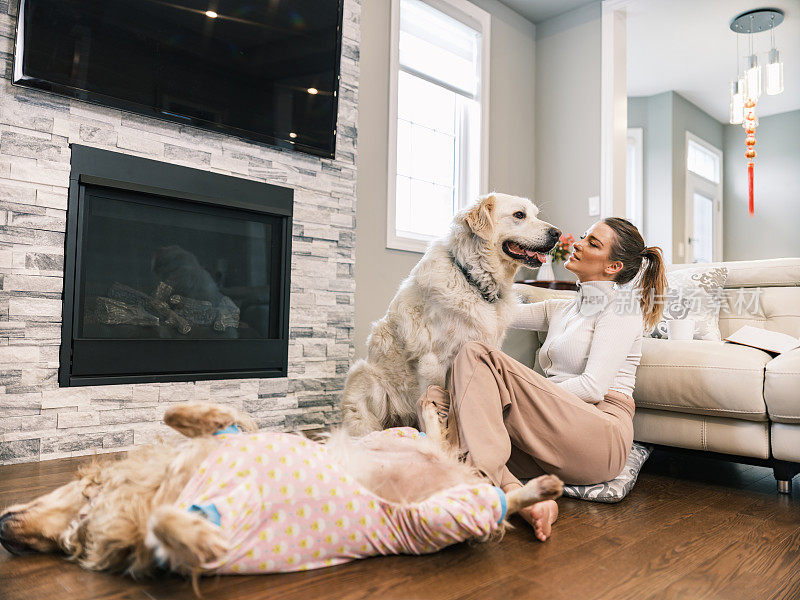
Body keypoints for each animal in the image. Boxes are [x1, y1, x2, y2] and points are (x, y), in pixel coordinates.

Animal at [0, 398, 564, 584]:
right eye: (60, 548)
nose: (2, 528)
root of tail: (457, 477)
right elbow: (164, 525)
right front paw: (191, 533)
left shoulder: (231, 433)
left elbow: (179, 414)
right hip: (440, 515)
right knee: (496, 499)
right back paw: (540, 490)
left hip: (406, 454)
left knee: (442, 442)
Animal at [340, 195, 560, 434]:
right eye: (519, 215)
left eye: (536, 215)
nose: (557, 233)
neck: (472, 280)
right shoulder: (433, 363)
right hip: (366, 377)